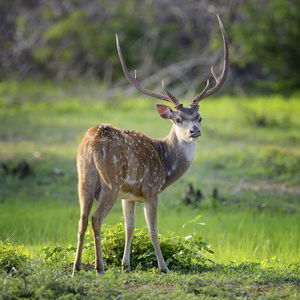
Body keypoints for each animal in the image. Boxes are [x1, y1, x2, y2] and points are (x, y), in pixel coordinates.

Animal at [72, 14, 227, 276]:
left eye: (199, 117)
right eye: (177, 119)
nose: (194, 131)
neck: (165, 164)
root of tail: (91, 143)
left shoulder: (129, 196)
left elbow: (130, 227)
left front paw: (125, 265)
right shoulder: (151, 189)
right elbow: (153, 229)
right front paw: (163, 267)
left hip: (84, 177)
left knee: (82, 218)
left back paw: (76, 268)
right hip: (110, 181)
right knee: (95, 218)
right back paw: (99, 267)